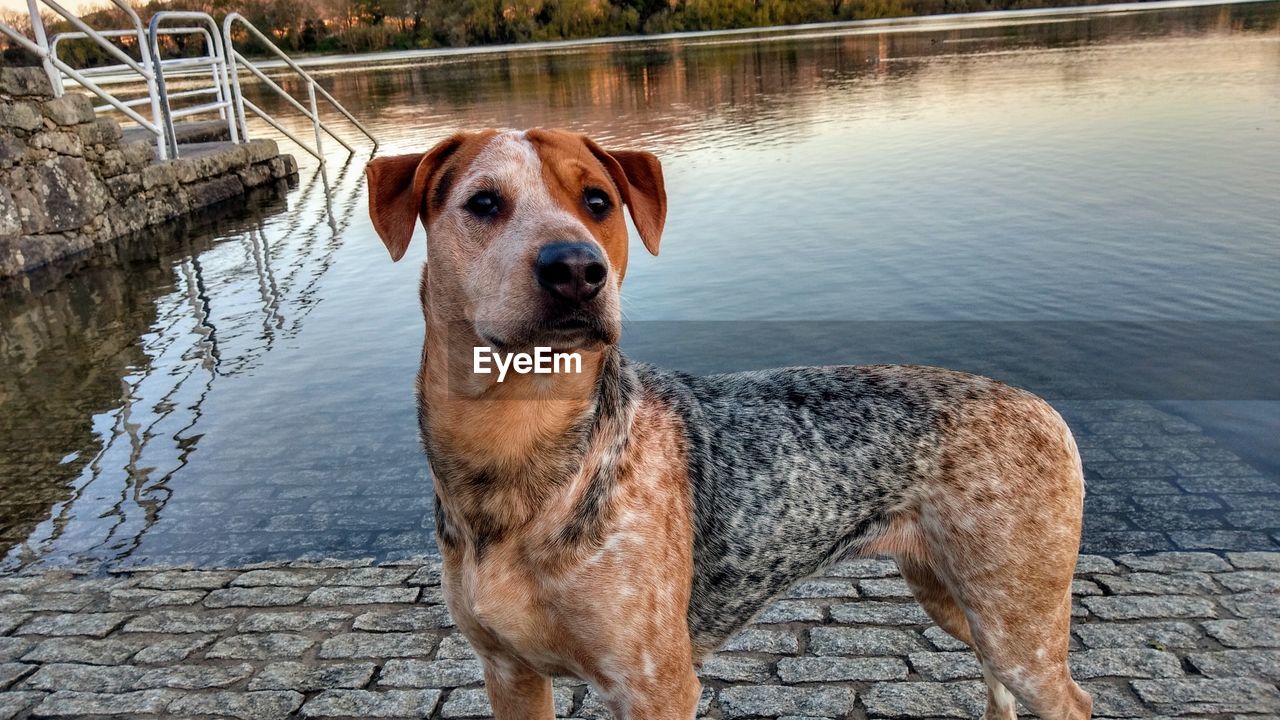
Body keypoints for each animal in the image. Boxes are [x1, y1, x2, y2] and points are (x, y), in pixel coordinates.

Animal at [363, 128, 1090, 717]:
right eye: (484, 203)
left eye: (598, 202)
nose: (575, 267)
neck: (517, 451)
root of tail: (1043, 407)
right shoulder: (509, 674)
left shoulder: (654, 686)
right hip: (954, 598)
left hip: (1014, 620)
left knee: (1070, 699)